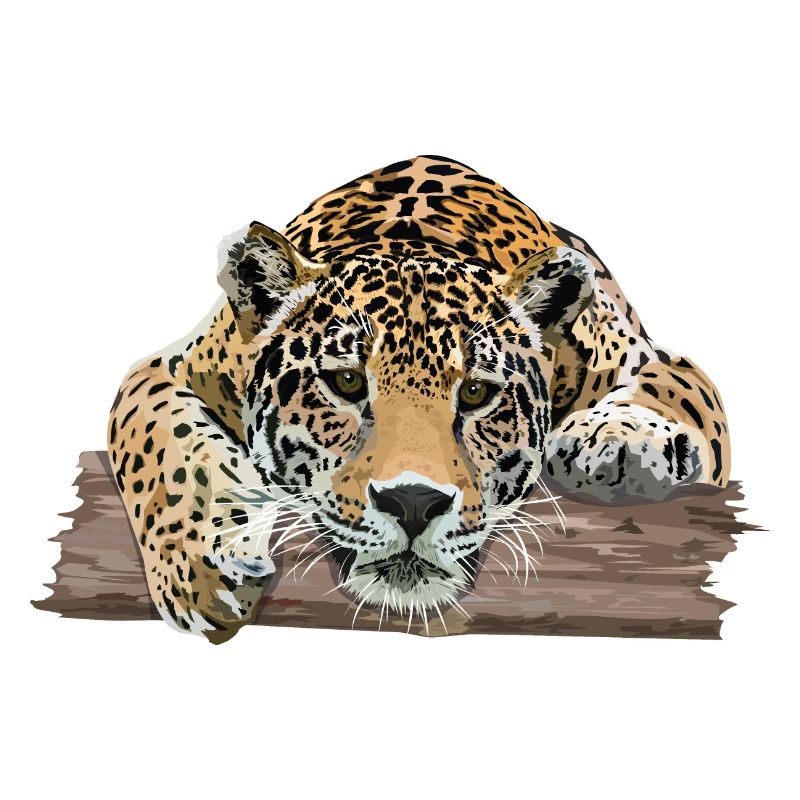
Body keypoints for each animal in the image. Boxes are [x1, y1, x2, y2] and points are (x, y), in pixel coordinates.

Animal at [108, 155, 730, 642]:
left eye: (476, 392)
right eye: (347, 383)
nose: (412, 503)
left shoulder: (654, 361)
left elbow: (666, 387)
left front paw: (619, 439)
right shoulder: (165, 369)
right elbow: (167, 445)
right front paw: (206, 565)